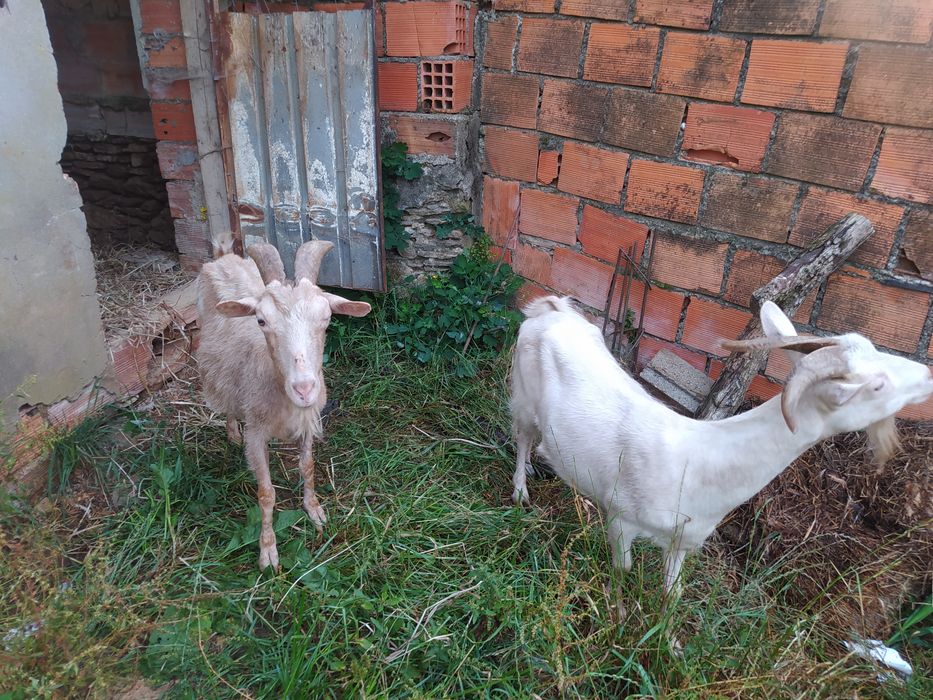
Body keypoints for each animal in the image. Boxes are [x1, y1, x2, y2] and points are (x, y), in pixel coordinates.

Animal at [197, 241, 371, 570]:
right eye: (261, 320)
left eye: (326, 318)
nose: (304, 388)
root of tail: (225, 257)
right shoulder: (256, 433)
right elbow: (266, 493)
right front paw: (268, 550)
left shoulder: (309, 421)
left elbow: (308, 467)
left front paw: (314, 510)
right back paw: (231, 431)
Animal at [510, 296, 933, 605]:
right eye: (876, 386)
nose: (927, 374)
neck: (700, 461)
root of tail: (550, 310)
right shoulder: (620, 518)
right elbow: (622, 571)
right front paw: (617, 616)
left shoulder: (684, 539)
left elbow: (673, 592)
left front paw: (669, 644)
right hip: (524, 398)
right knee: (523, 437)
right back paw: (520, 491)